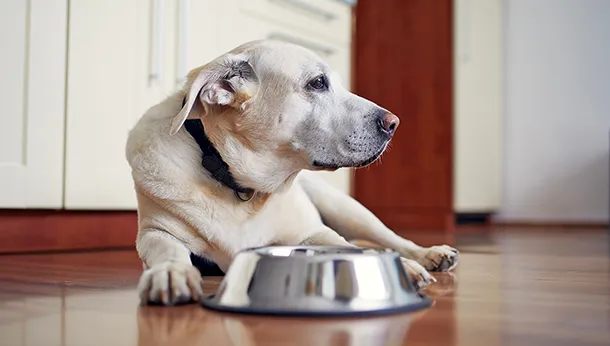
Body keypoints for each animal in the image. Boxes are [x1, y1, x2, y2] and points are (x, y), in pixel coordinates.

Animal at [124, 39, 456, 306]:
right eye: (318, 82)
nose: (393, 123)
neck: (237, 182)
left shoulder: (313, 232)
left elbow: (345, 246)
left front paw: (404, 267)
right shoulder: (155, 232)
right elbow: (168, 250)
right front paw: (171, 272)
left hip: (347, 209)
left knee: (389, 237)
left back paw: (428, 253)